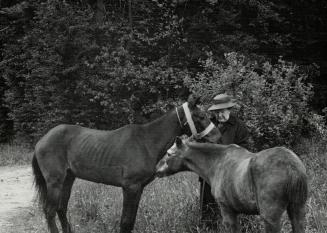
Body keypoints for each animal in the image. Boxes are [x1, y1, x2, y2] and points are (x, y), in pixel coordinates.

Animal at [32, 95, 222, 233]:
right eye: (201, 116)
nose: (217, 137)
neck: (146, 142)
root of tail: (42, 140)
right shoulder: (130, 188)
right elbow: (125, 222)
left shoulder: (138, 189)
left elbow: (130, 221)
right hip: (55, 181)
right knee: (50, 211)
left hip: (68, 179)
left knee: (61, 208)